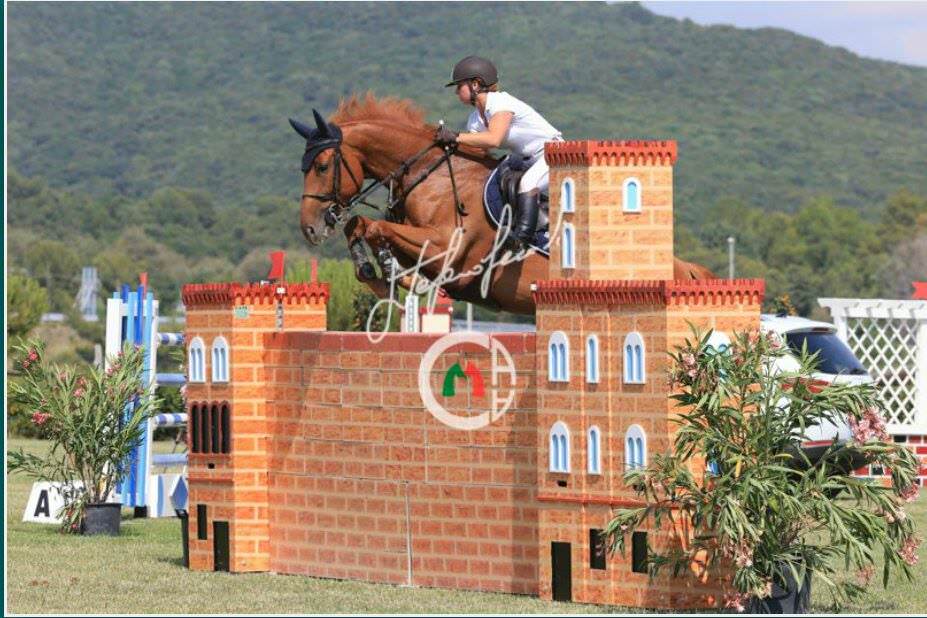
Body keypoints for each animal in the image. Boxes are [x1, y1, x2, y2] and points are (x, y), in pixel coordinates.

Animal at [294, 94, 716, 316]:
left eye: (322, 165)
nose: (310, 229)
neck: (431, 178)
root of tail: (684, 269)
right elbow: (361, 227)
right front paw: (377, 271)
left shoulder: (449, 253)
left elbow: (376, 228)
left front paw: (392, 272)